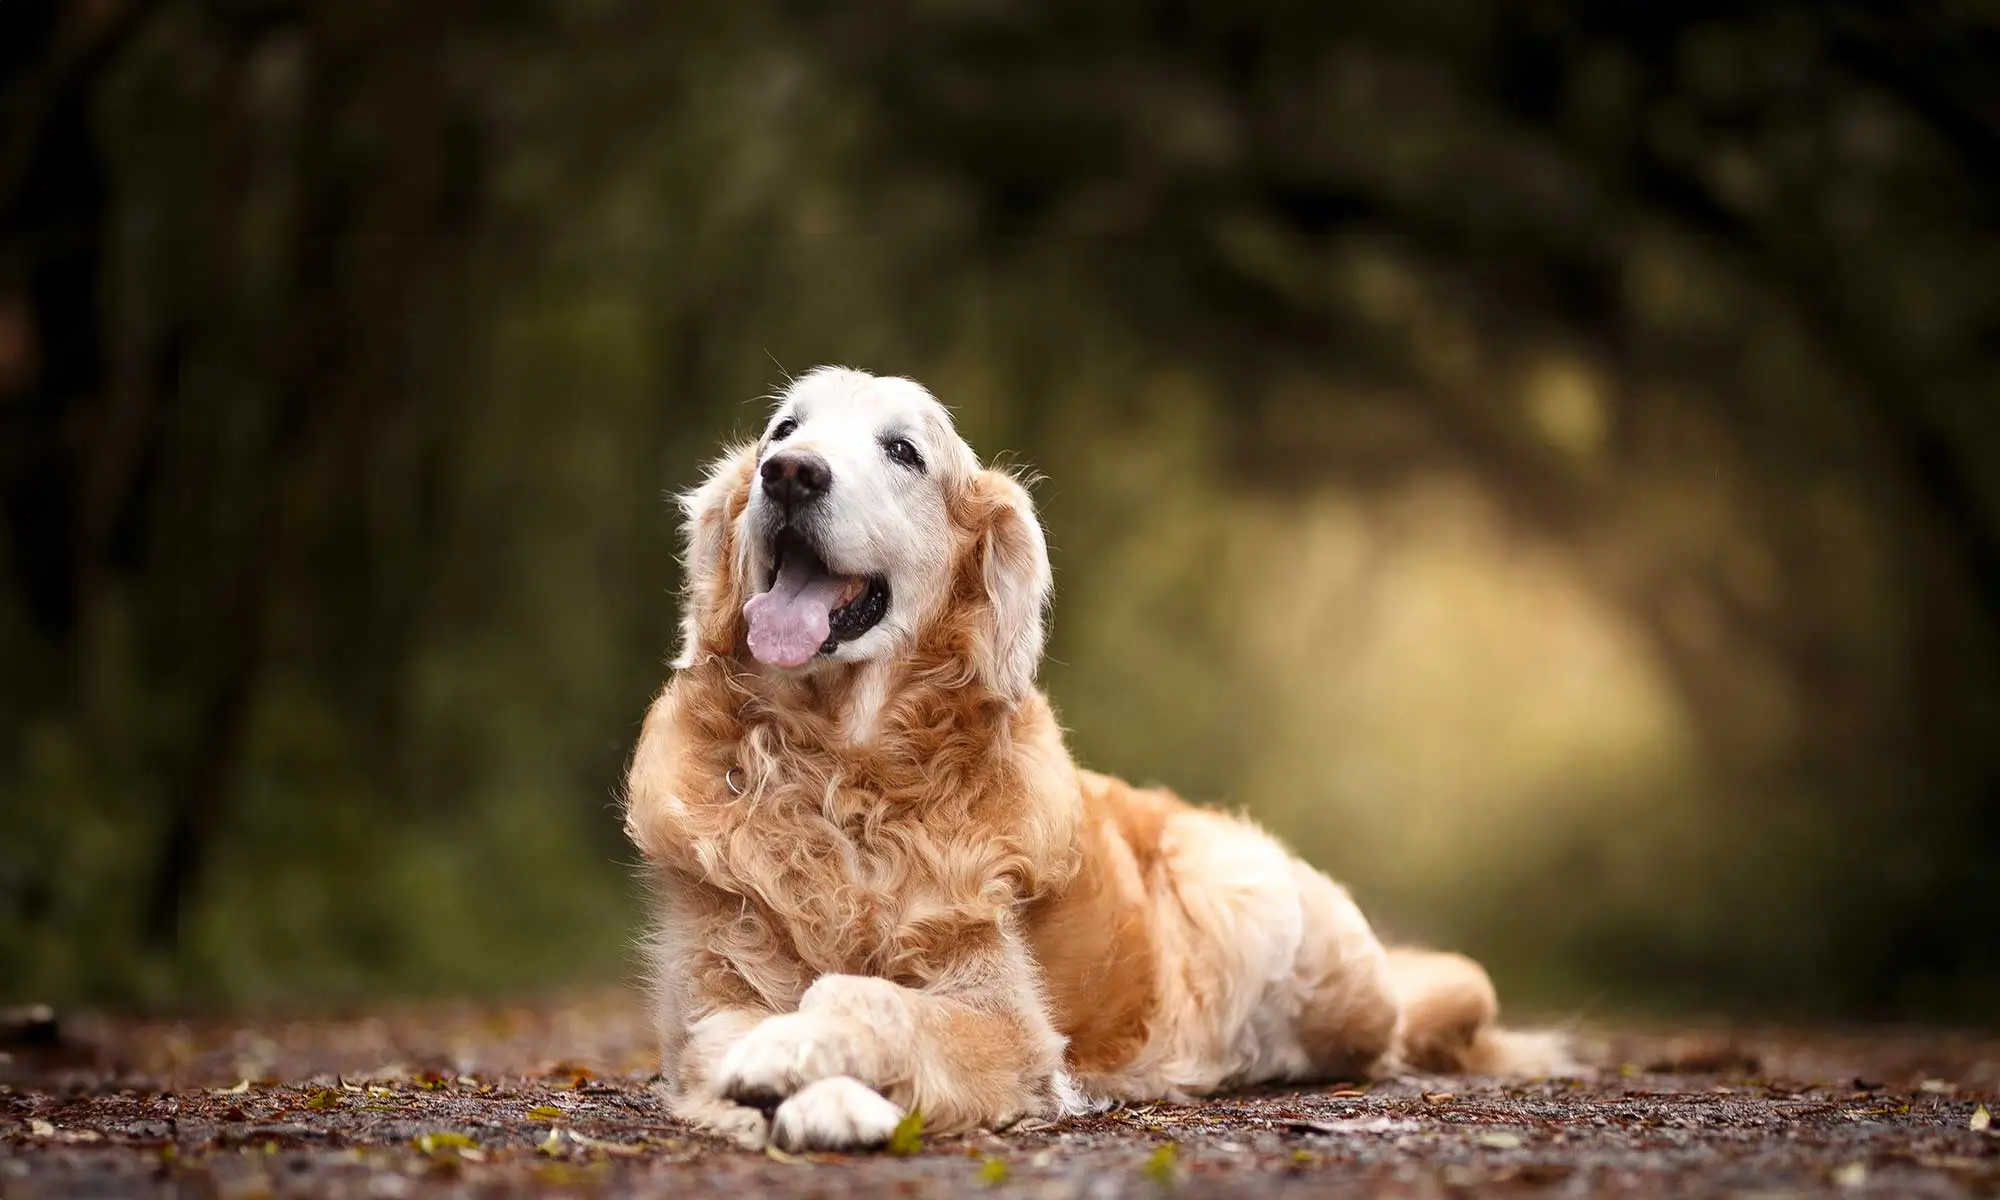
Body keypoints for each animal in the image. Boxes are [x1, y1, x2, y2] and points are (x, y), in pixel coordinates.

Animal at [616, 366, 1568, 1152]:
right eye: (783, 430)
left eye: (903, 451)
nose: (790, 473)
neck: (839, 772)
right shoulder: (706, 999)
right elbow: (729, 1036)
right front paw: (799, 1085)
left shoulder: (1008, 1025)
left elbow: (864, 996)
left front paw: (811, 1065)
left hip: (1251, 898)